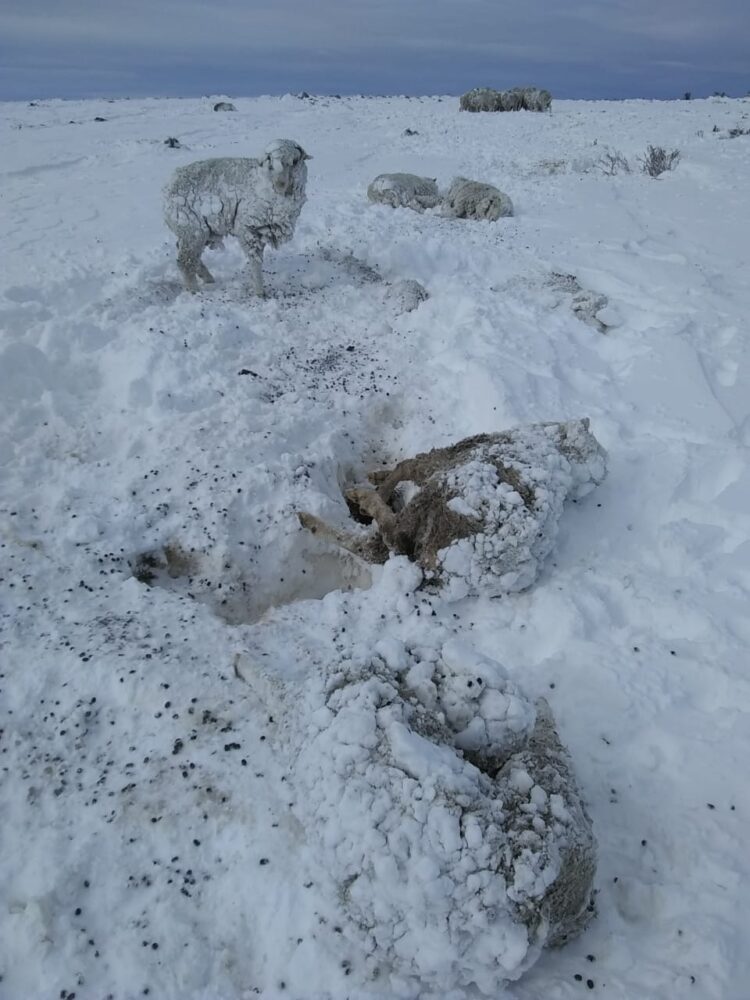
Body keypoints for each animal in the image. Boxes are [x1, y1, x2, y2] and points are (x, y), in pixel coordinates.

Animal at [163, 138, 311, 295]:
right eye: (269, 159)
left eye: (295, 161)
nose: (280, 184)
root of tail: (168, 186)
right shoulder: (248, 228)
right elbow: (255, 262)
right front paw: (259, 292)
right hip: (192, 229)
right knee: (185, 261)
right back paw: (194, 290)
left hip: (194, 232)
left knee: (187, 254)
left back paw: (208, 278)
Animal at [299, 418, 606, 600]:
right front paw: (377, 477)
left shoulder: (440, 459)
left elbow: (403, 468)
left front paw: (375, 487)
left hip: (438, 500)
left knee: (381, 542)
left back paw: (325, 513)